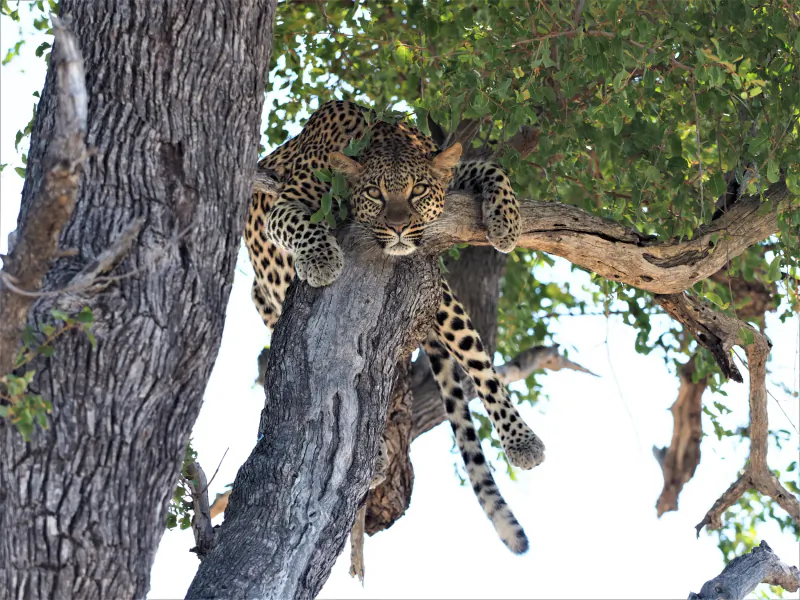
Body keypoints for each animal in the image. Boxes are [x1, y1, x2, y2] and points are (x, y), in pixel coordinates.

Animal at [245, 99, 545, 554]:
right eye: (375, 193)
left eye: (417, 191)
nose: (401, 227)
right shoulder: (286, 204)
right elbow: (304, 225)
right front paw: (321, 259)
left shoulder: (449, 173)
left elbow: (490, 167)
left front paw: (506, 221)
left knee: (479, 364)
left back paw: (521, 440)